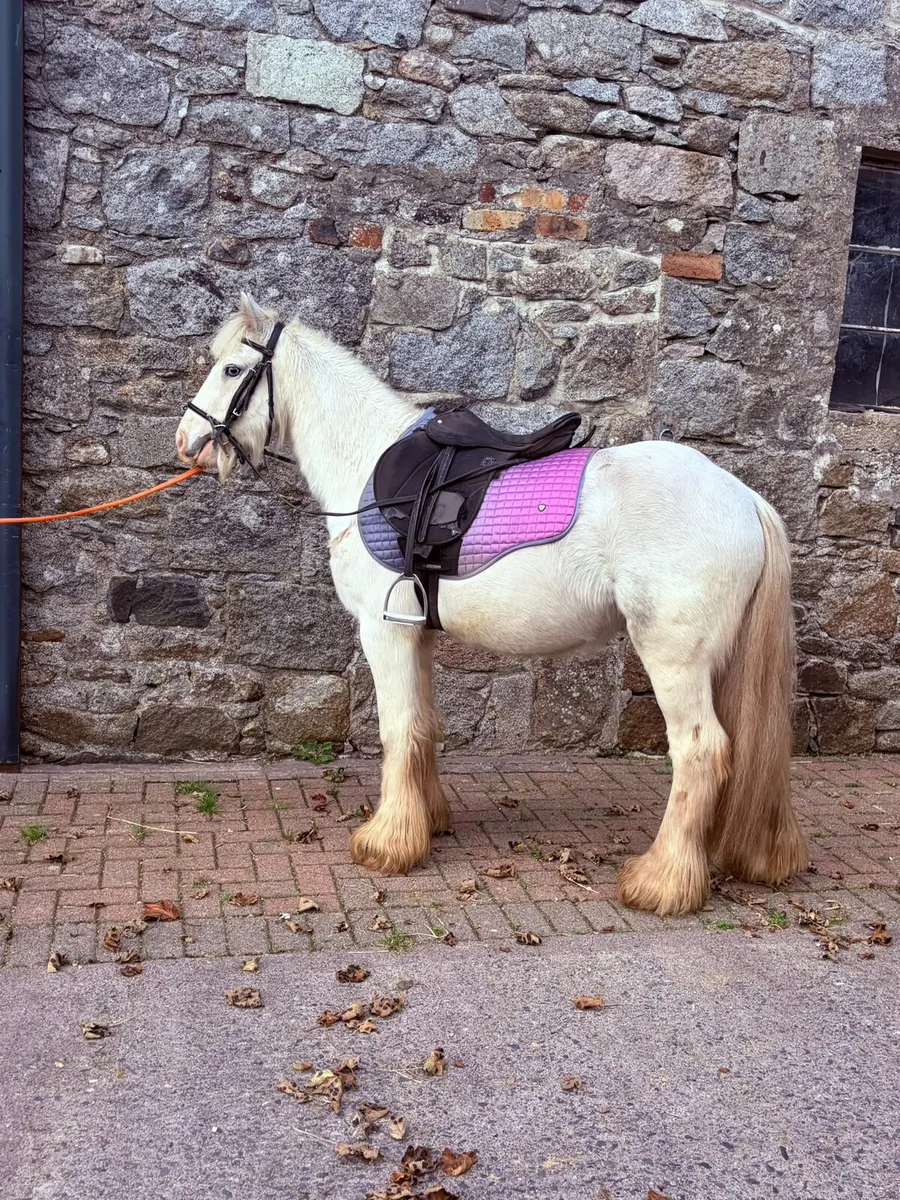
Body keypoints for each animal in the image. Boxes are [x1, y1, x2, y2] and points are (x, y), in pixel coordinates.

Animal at [174, 293, 807, 917]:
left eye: (232, 369)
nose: (186, 441)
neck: (370, 469)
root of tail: (744, 498)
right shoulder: (417, 631)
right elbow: (424, 724)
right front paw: (427, 821)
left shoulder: (384, 632)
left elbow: (396, 728)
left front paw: (387, 844)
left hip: (674, 658)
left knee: (701, 750)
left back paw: (662, 882)